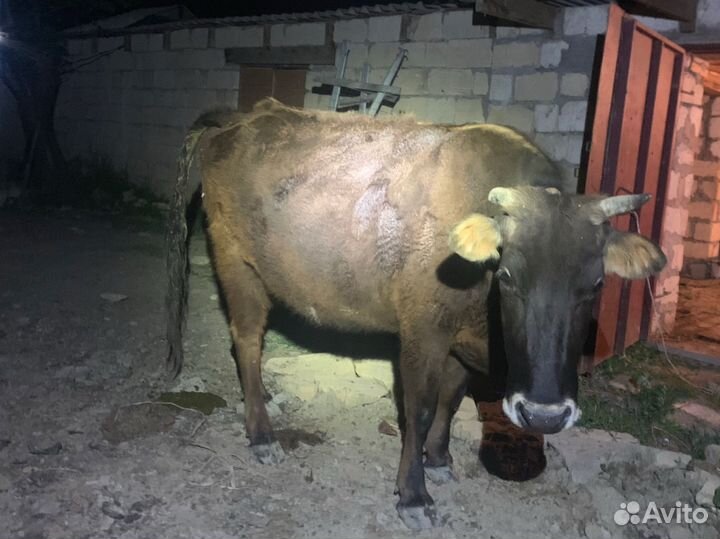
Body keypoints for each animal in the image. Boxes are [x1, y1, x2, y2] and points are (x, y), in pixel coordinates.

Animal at [166, 98, 666, 529]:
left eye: (597, 284)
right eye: (506, 275)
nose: (544, 416)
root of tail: (242, 117)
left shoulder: (461, 340)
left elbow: (451, 399)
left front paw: (439, 461)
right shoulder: (422, 330)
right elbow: (420, 410)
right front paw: (414, 495)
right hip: (235, 261)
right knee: (247, 340)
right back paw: (262, 434)